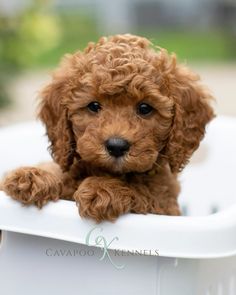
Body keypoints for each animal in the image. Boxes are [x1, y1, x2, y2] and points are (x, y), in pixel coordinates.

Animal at [1, 34, 215, 222]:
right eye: (94, 106)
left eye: (145, 108)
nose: (116, 146)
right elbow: (59, 172)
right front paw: (32, 176)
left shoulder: (164, 204)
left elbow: (143, 191)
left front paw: (103, 189)